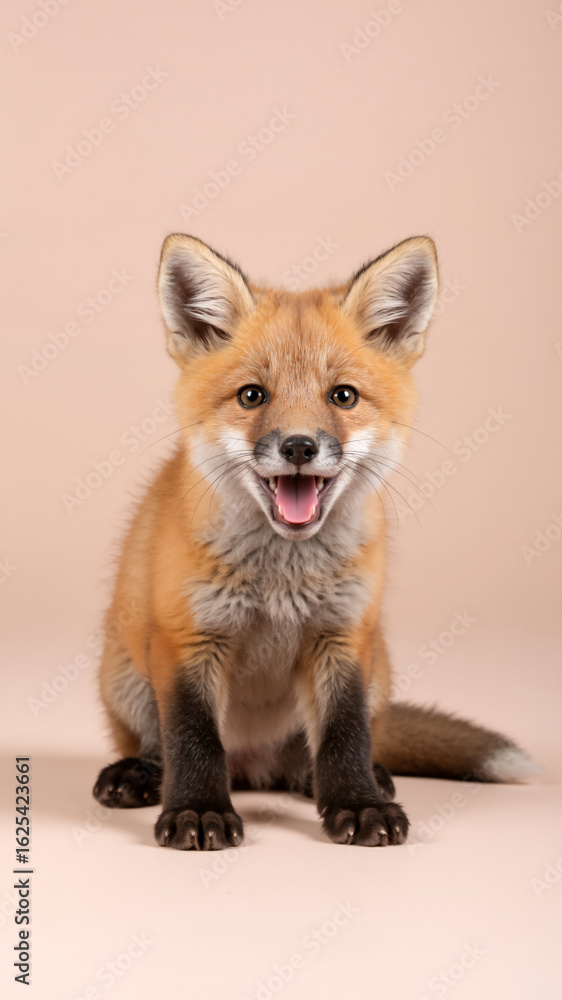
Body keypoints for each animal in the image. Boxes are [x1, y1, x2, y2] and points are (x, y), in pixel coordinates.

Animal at [93, 233, 536, 850]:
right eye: (252, 396)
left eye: (342, 396)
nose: (299, 446)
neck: (283, 576)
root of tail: (253, 768)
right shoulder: (189, 637)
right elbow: (192, 738)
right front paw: (198, 811)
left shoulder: (343, 635)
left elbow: (345, 735)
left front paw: (357, 804)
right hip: (124, 674)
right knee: (158, 745)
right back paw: (139, 775)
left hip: (379, 669)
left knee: (330, 748)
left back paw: (346, 778)